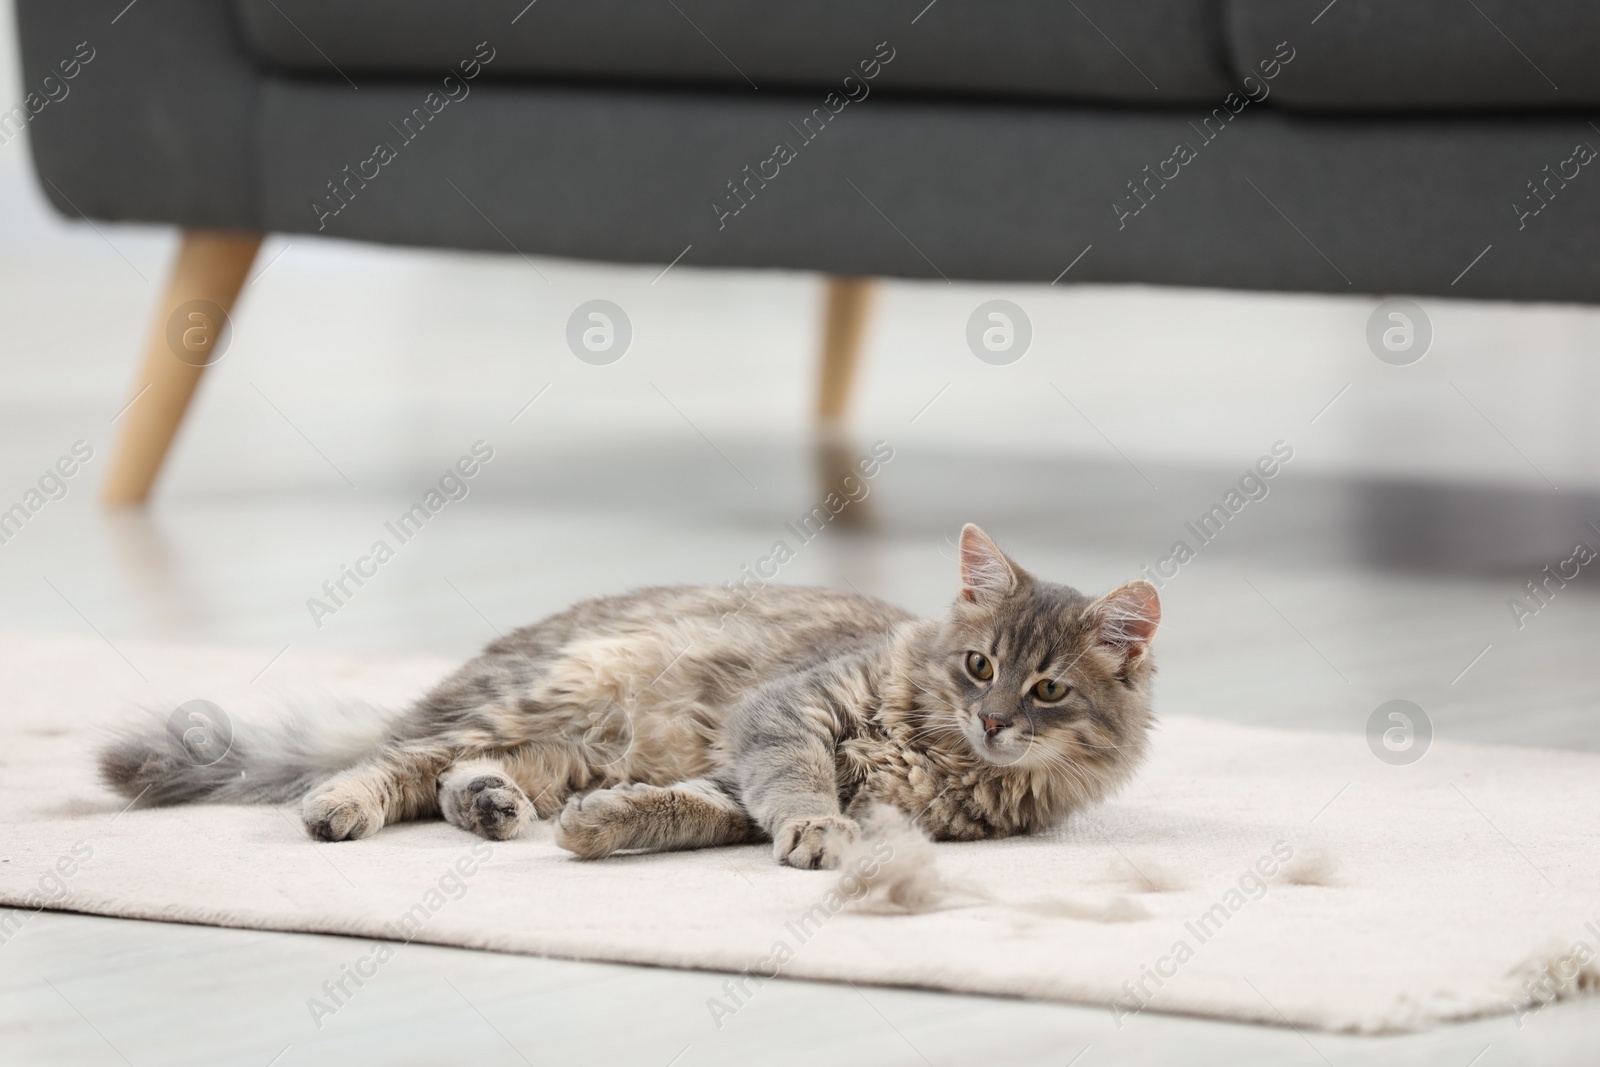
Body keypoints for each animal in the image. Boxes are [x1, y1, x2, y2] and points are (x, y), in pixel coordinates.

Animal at [103, 524, 1164, 870]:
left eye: (1048, 688)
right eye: (979, 666)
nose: (992, 719)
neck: (935, 750)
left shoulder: (730, 781)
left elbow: (686, 809)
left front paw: (602, 827)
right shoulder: (785, 718)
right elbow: (797, 787)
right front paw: (816, 831)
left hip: (562, 743)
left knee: (455, 774)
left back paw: (496, 808)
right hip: (553, 693)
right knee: (397, 758)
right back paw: (340, 803)